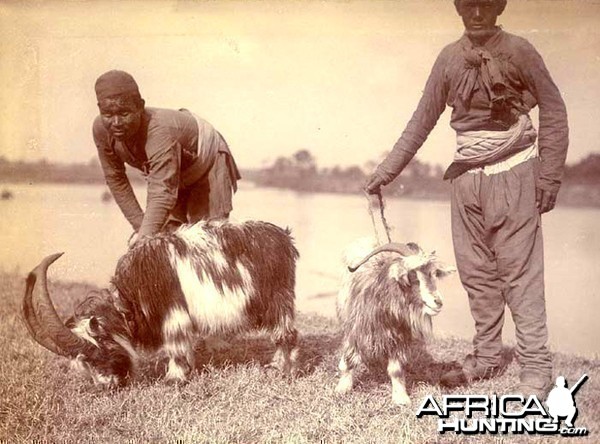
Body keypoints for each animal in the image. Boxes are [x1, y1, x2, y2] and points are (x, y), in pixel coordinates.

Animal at [23, 220, 300, 386]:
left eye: (99, 354)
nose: (108, 386)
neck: (127, 300)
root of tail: (284, 238)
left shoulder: (173, 315)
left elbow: (175, 345)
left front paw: (174, 379)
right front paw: (188, 369)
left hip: (279, 298)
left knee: (286, 334)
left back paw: (281, 369)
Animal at [332, 239, 454, 406]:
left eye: (434, 274)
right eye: (413, 276)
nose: (438, 302)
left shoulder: (398, 339)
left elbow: (396, 370)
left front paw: (401, 397)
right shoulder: (355, 332)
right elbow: (349, 361)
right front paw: (343, 388)